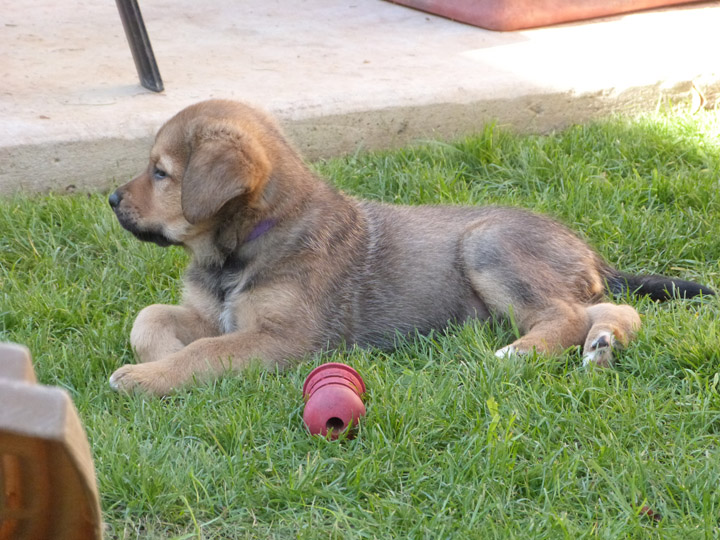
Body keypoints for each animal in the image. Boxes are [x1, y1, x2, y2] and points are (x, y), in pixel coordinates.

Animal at [107, 99, 716, 394]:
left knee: (565, 318)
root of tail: (588, 250)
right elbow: (150, 317)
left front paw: (147, 378)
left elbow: (207, 353)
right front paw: (160, 356)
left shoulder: (286, 339)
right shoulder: (217, 315)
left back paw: (517, 355)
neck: (237, 251)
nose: (111, 199)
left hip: (489, 245)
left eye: (160, 173)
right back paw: (603, 346)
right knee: (614, 310)